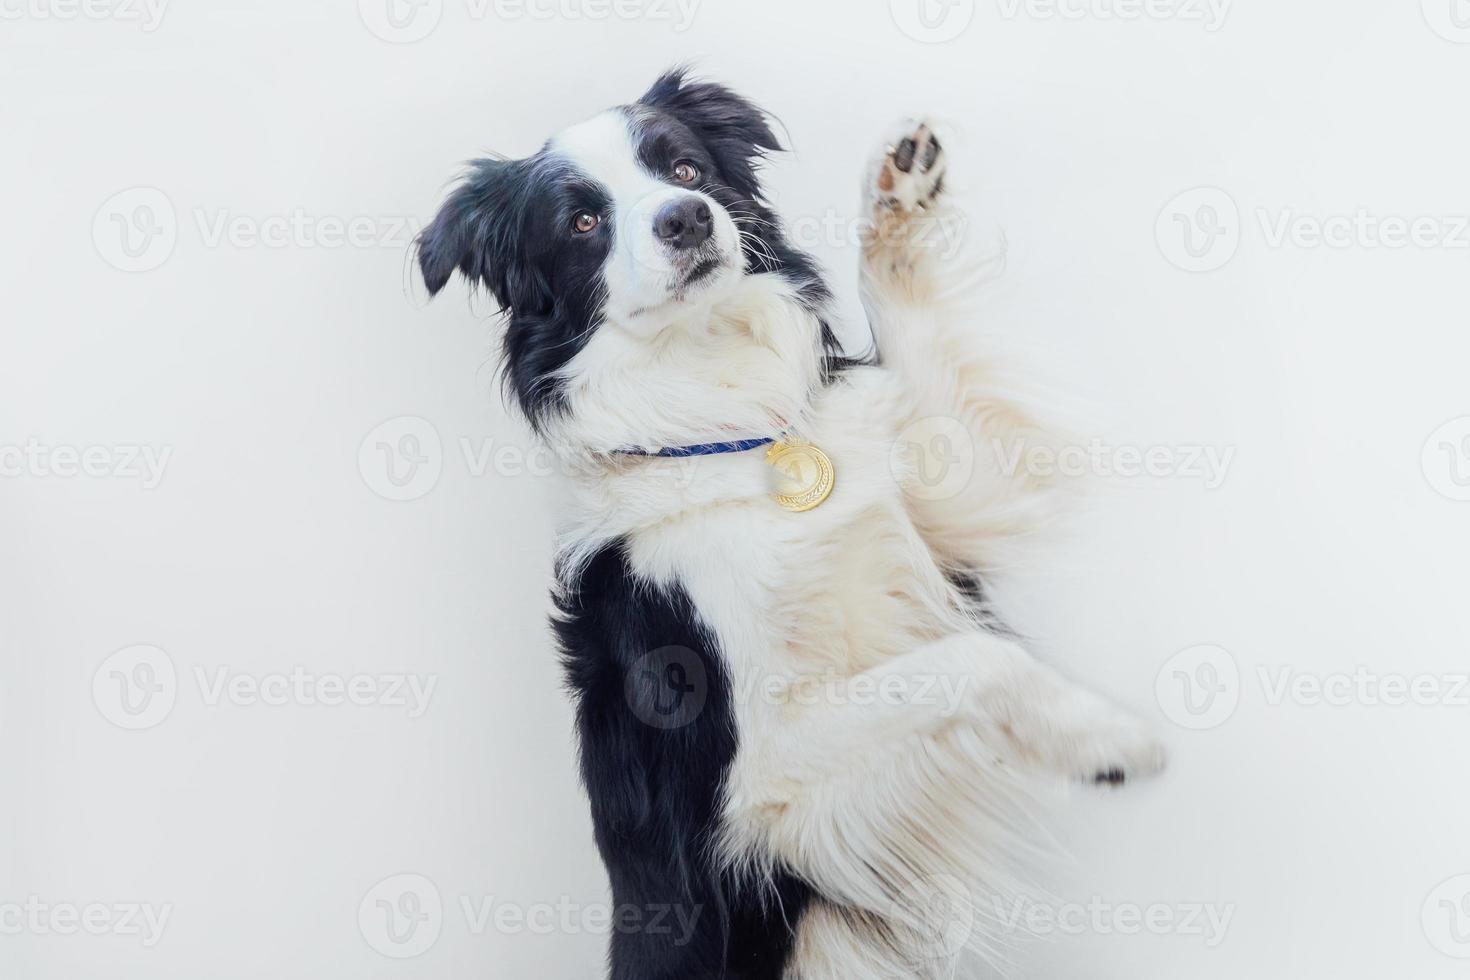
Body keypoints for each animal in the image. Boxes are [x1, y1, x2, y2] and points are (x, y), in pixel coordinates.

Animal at [414, 69, 1158, 980]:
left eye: (685, 168)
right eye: (582, 223)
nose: (686, 219)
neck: (730, 428)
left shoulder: (947, 500)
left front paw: (897, 191)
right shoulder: (758, 775)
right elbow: (974, 660)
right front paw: (1105, 740)